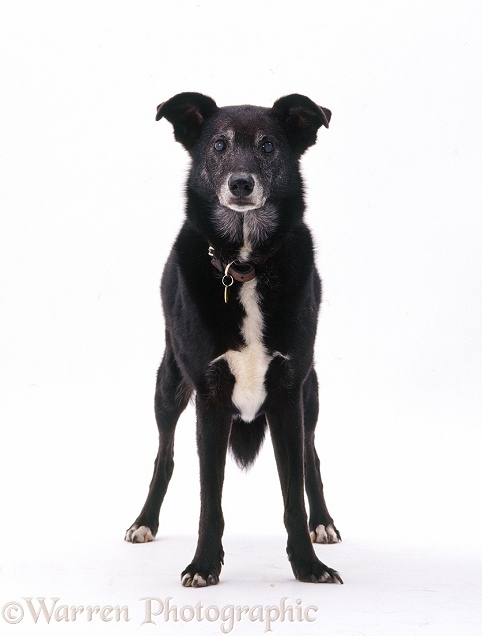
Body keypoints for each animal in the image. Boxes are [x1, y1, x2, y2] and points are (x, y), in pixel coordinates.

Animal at [125, 90, 342, 588]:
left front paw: (308, 567)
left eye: (268, 146)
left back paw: (323, 521)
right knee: (164, 455)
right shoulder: (210, 397)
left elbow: (292, 493)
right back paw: (144, 521)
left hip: (311, 394)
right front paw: (204, 564)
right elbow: (210, 499)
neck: (244, 266)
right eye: (219, 145)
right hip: (168, 385)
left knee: (312, 458)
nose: (241, 184)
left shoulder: (287, 393)